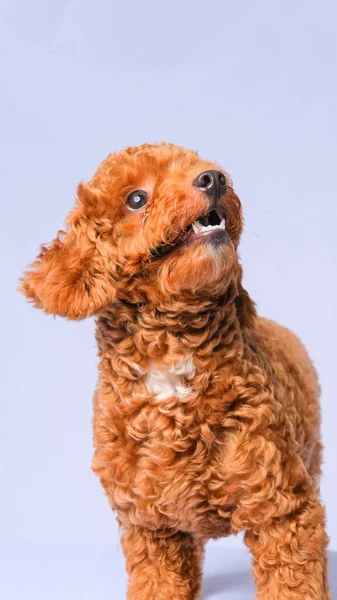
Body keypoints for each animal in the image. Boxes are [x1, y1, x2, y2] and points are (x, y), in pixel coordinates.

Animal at [19, 143, 330, 596]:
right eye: (136, 198)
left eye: (199, 166)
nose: (214, 178)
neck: (172, 362)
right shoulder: (150, 525)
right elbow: (158, 581)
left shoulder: (283, 510)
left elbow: (294, 580)